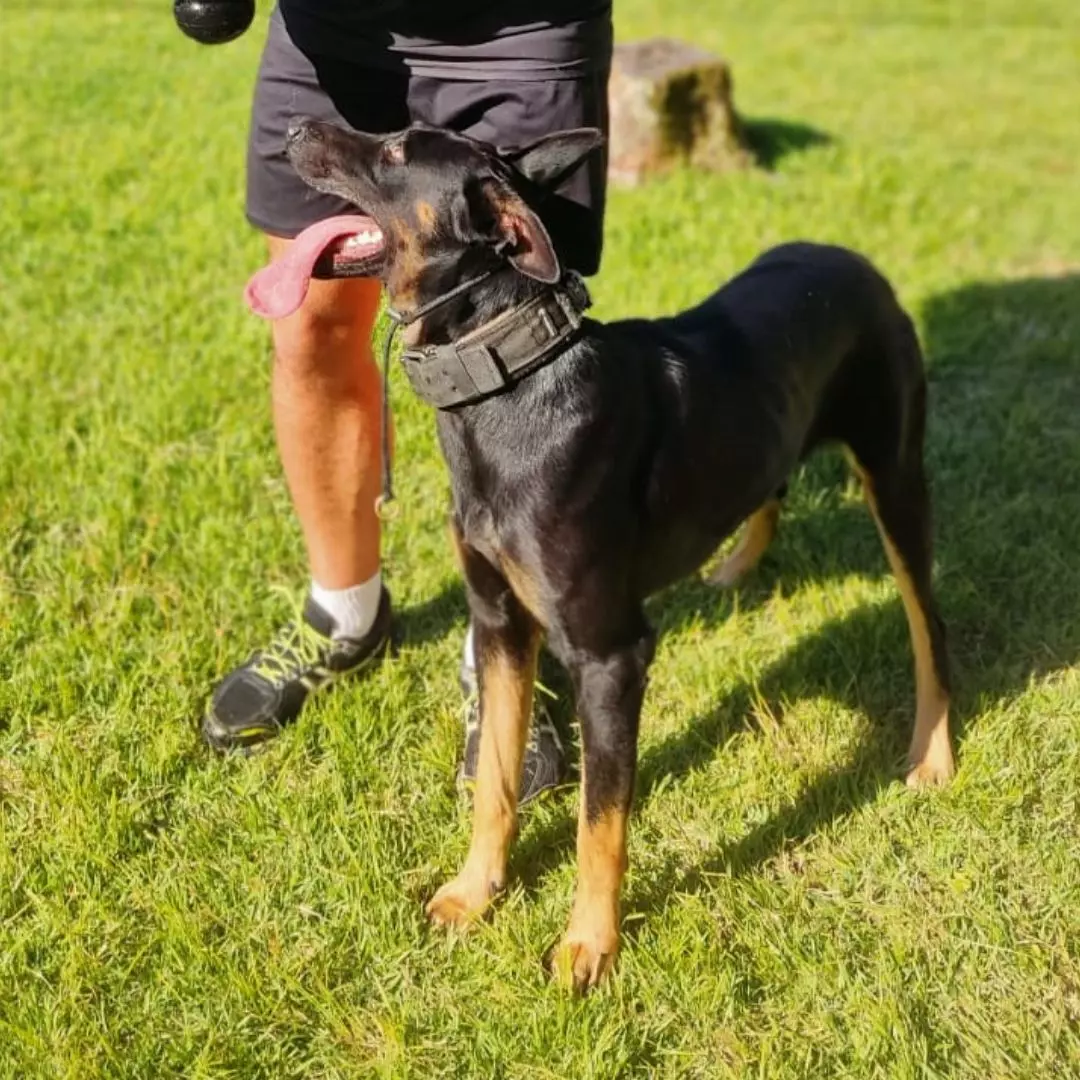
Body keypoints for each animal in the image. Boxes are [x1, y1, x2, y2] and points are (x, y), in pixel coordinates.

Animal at [285, 122, 954, 989]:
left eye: (396, 150)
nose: (295, 129)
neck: (507, 390)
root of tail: (857, 261)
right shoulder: (498, 623)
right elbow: (495, 781)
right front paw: (475, 893)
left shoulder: (609, 656)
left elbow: (598, 821)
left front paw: (588, 946)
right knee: (771, 481)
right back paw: (736, 564)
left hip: (894, 472)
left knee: (929, 624)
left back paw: (933, 753)